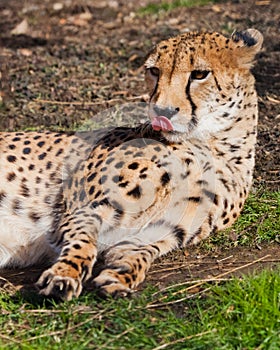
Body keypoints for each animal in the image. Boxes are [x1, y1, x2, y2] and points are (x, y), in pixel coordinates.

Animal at [0, 28, 262, 300]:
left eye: (200, 74)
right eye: (154, 71)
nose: (162, 111)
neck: (212, 145)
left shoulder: (168, 228)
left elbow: (139, 252)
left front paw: (120, 276)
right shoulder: (86, 206)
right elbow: (82, 241)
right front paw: (65, 273)